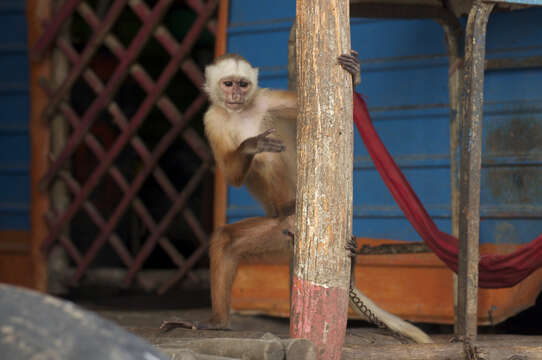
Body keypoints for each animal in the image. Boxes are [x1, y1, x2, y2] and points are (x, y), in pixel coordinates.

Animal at [162, 51, 434, 344]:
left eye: (243, 84)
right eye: (228, 84)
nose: (235, 95)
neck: (240, 112)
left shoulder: (267, 99)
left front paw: (355, 78)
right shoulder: (211, 118)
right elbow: (232, 176)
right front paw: (250, 146)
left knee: (268, 160)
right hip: (277, 232)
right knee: (227, 240)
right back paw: (219, 324)